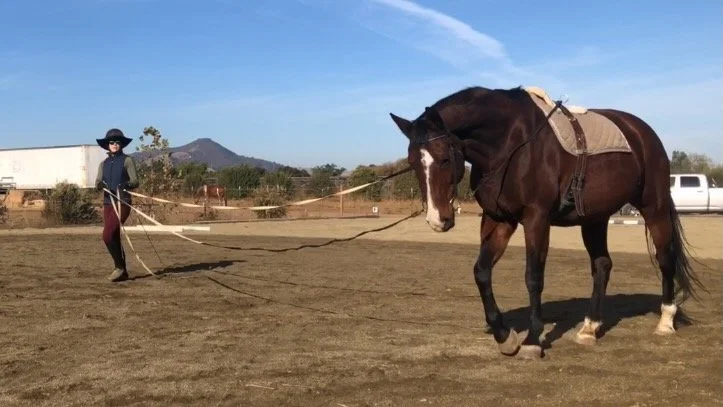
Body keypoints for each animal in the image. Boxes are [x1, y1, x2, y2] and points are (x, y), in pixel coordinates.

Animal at [388, 85, 705, 359]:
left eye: (443, 158)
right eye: (413, 162)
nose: (437, 219)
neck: (509, 142)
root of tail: (642, 132)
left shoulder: (536, 219)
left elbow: (533, 277)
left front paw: (532, 340)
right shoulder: (498, 220)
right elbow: (481, 272)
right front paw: (504, 335)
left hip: (654, 207)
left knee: (665, 258)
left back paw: (665, 321)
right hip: (594, 218)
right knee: (602, 265)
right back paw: (590, 327)